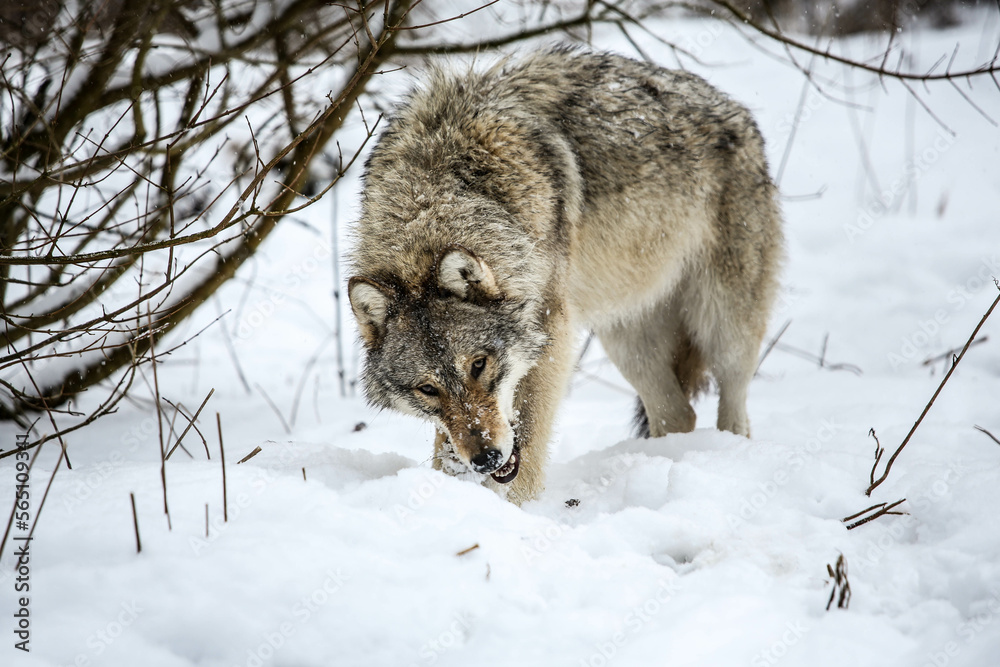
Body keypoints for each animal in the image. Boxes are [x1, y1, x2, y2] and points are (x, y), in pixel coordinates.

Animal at [347, 47, 783, 505]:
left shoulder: (551, 333)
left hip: (723, 326)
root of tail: (734, 107)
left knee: (733, 407)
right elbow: (444, 449)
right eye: (427, 390)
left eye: (479, 365)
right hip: (627, 339)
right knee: (678, 413)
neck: (434, 195)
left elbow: (528, 440)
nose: (485, 458)